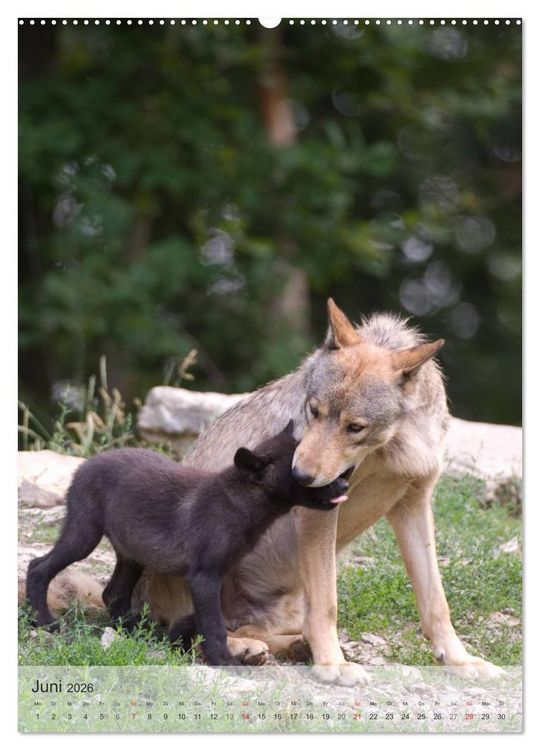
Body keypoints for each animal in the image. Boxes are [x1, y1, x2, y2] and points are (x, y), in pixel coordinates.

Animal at [25, 424, 347, 665]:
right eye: (297, 468)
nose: (344, 484)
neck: (237, 504)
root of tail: (85, 465)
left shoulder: (217, 577)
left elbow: (206, 618)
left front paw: (178, 640)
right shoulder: (204, 576)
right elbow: (214, 625)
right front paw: (223, 660)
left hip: (132, 554)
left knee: (113, 594)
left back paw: (136, 631)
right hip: (83, 535)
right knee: (38, 567)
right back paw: (43, 621)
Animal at [134, 299, 502, 683]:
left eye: (354, 427)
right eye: (314, 411)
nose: (297, 476)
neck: (393, 445)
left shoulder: (414, 504)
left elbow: (436, 602)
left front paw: (460, 660)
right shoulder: (319, 514)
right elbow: (328, 604)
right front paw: (334, 665)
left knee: (248, 628)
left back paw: (291, 646)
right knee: (188, 634)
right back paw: (247, 650)